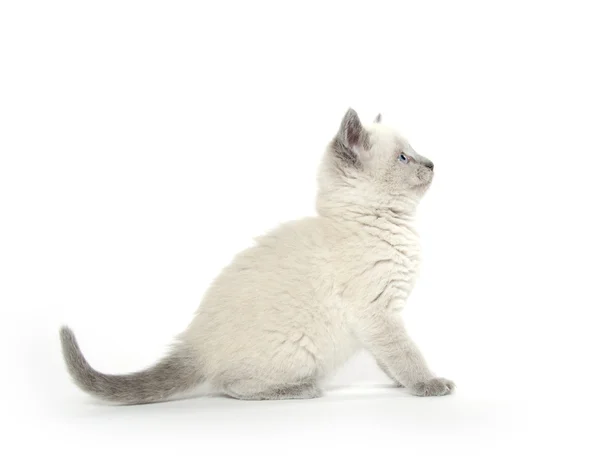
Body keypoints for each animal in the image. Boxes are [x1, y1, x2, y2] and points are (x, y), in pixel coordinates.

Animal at [59, 107, 454, 402]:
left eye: (415, 152)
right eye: (403, 157)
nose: (432, 163)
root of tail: (195, 344)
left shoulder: (381, 320)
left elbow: (389, 359)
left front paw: (399, 383)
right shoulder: (378, 313)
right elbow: (406, 354)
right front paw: (429, 383)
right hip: (300, 350)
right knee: (231, 386)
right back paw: (301, 389)